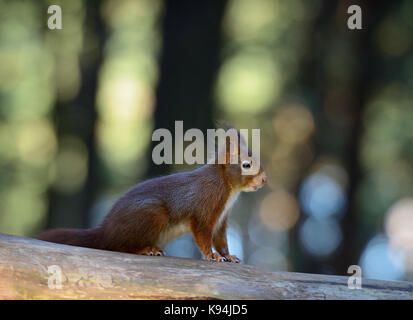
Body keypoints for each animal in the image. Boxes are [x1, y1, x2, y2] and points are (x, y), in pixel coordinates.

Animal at [36, 125, 268, 262]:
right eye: (247, 165)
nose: (265, 180)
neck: (228, 188)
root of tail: (106, 230)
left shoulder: (221, 218)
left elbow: (221, 239)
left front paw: (229, 256)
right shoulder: (205, 205)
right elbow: (203, 234)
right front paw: (212, 255)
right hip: (152, 213)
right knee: (117, 246)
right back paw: (145, 250)